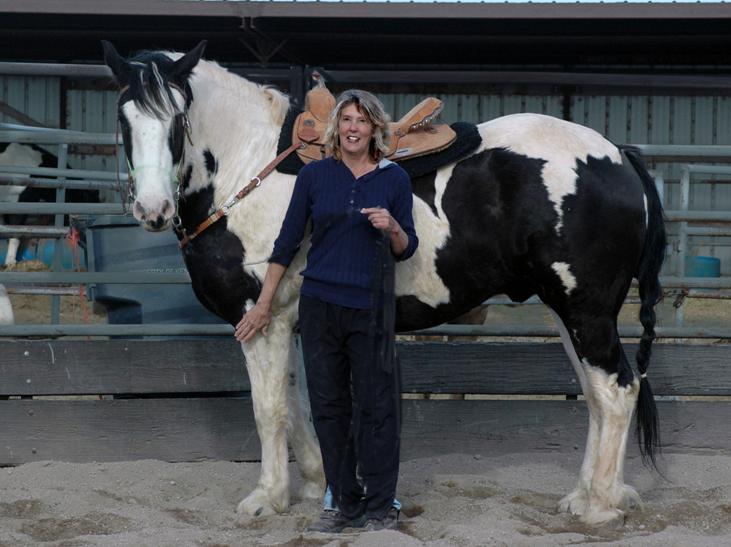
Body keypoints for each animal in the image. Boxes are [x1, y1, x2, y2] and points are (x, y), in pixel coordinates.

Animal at [103, 40, 668, 528]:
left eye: (178, 120)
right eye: (124, 118)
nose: (152, 210)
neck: (249, 164)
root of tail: (616, 155)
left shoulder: (260, 319)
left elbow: (270, 409)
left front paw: (267, 498)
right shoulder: (289, 320)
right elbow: (297, 404)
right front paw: (316, 485)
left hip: (585, 310)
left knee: (617, 390)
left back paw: (600, 506)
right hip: (567, 311)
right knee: (597, 394)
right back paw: (588, 495)